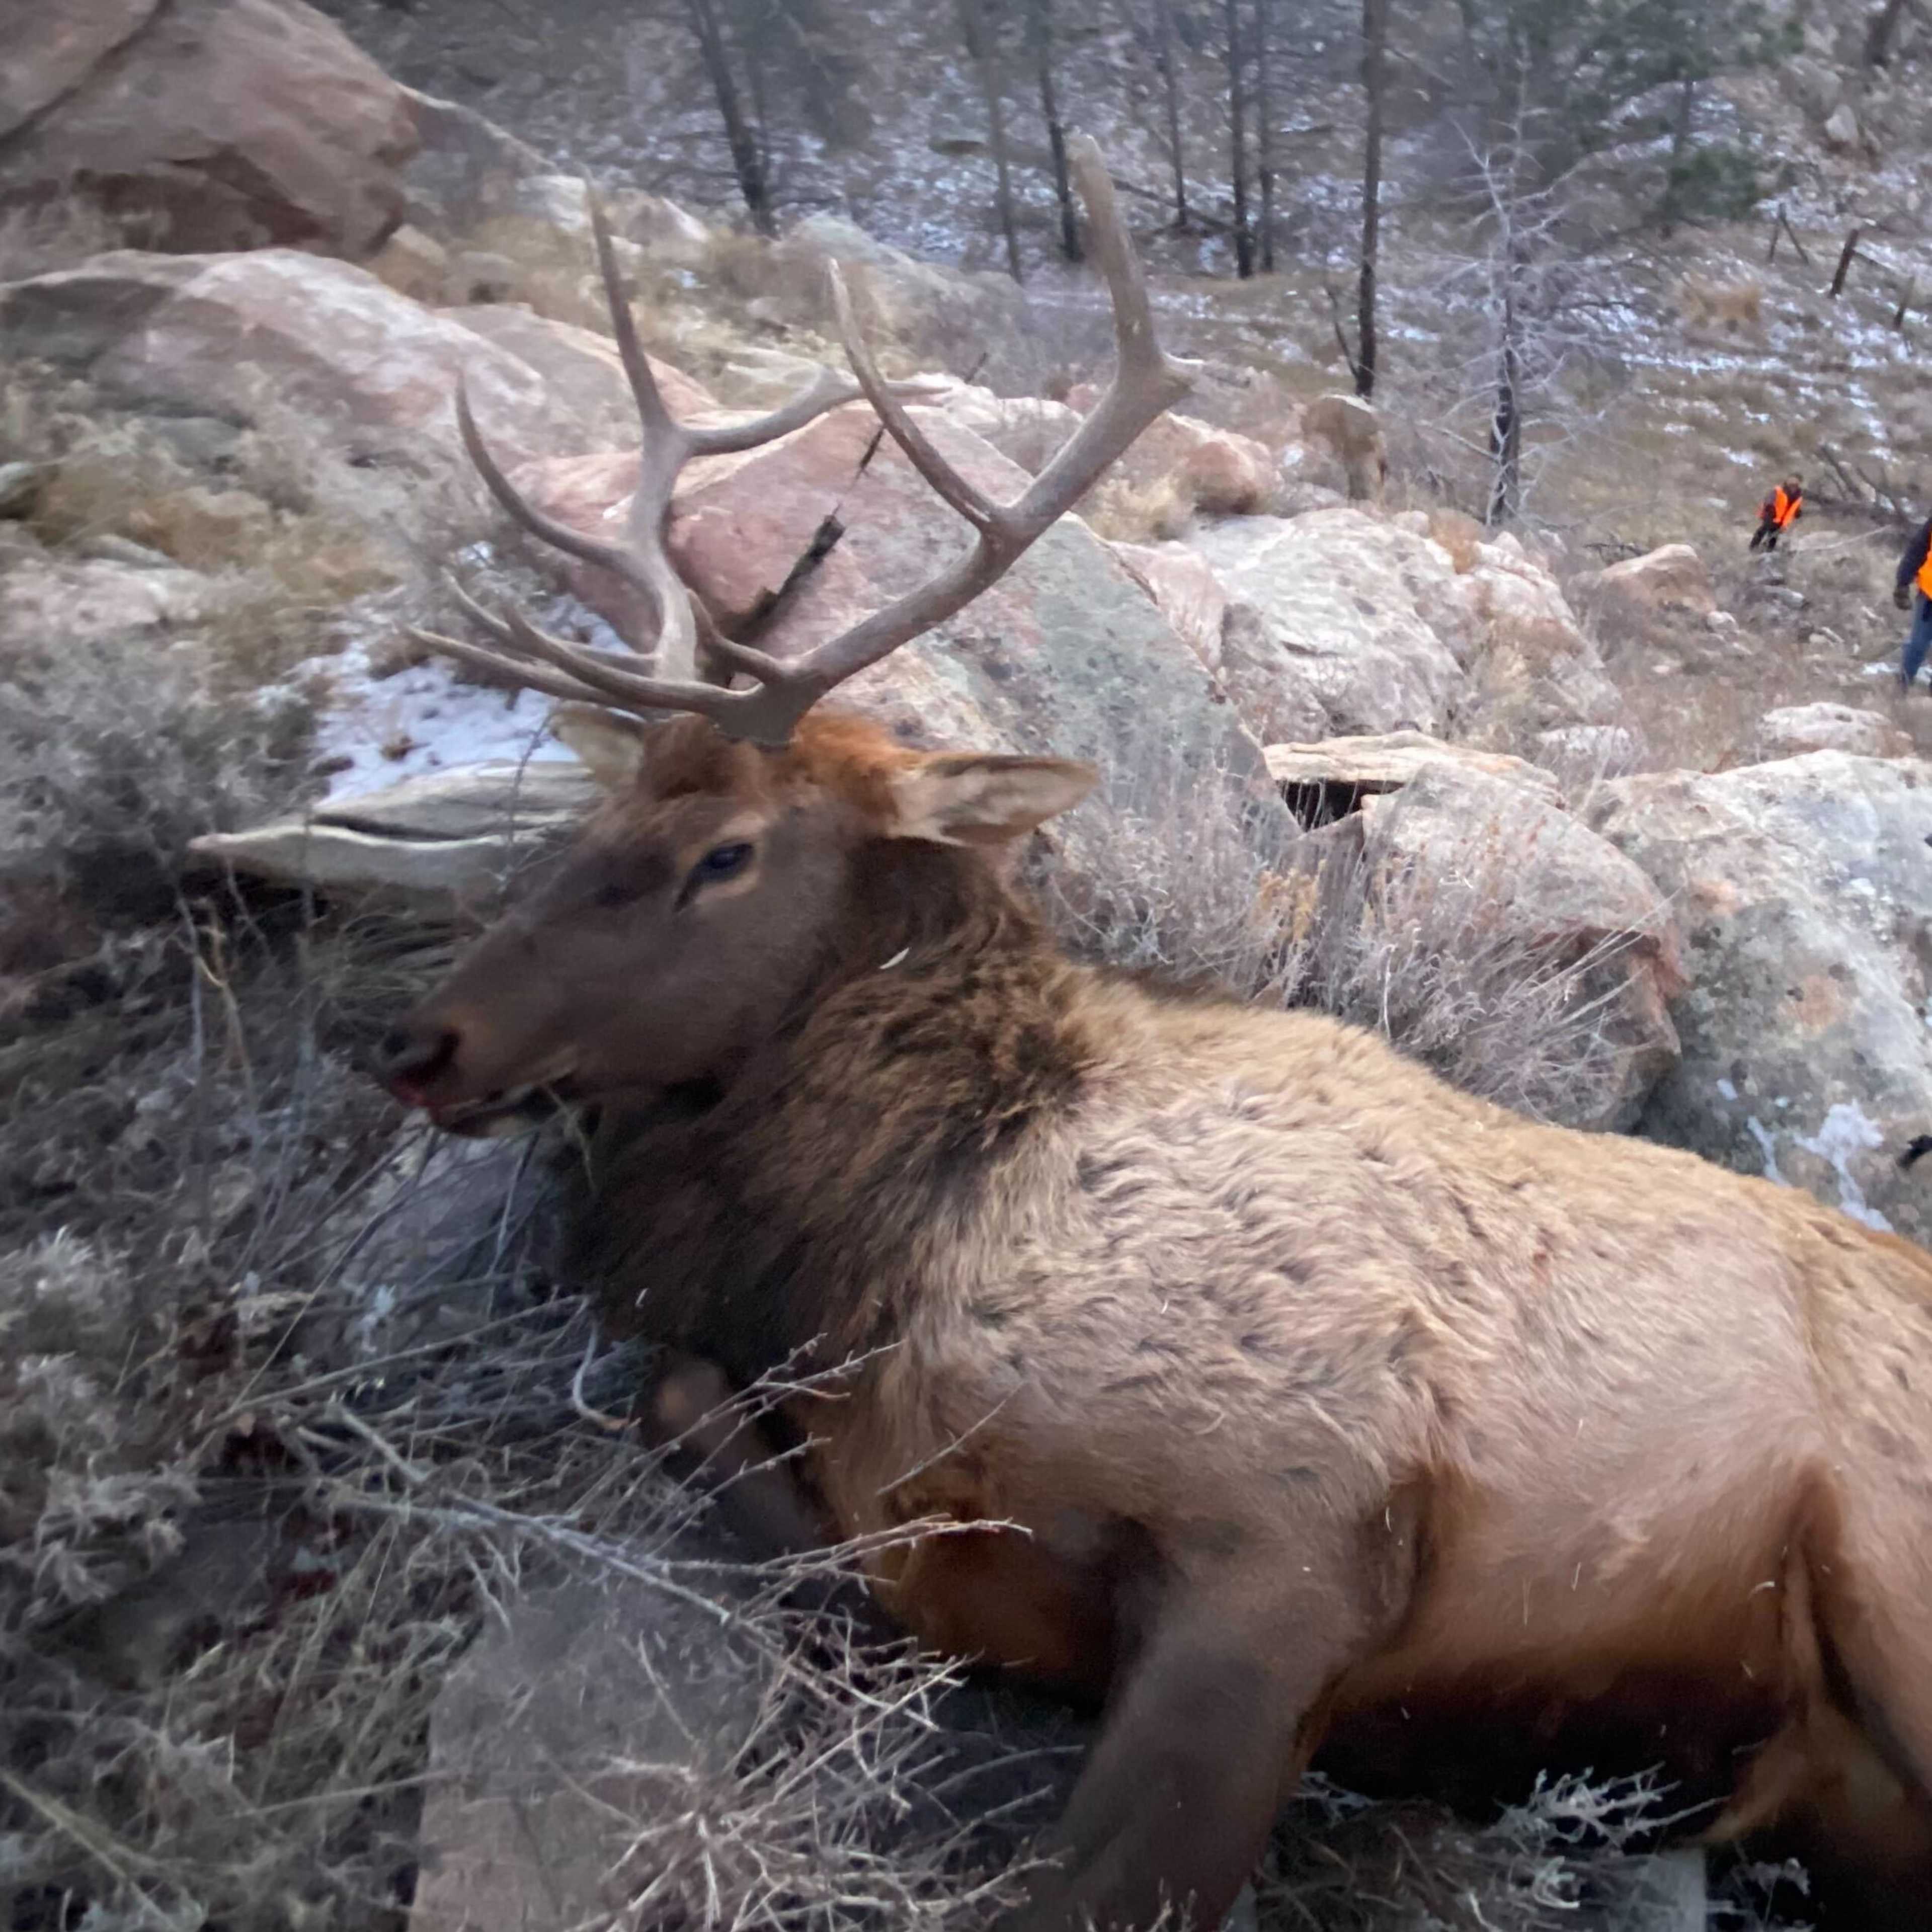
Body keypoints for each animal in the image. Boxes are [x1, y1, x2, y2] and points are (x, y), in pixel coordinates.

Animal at [373, 139, 1932, 1930]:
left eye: (727, 854)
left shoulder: (1295, 1529)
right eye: (610, 803)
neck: (896, 1239)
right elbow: (696, 1408)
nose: (423, 1040)